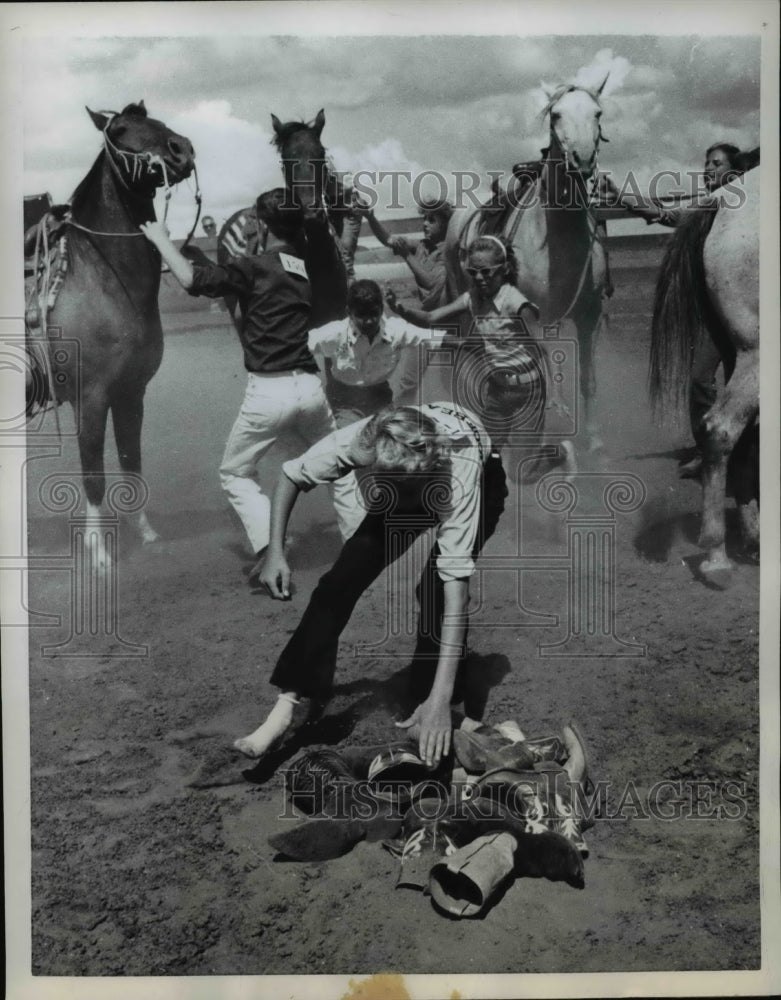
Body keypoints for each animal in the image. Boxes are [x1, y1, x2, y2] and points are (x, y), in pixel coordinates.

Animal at [35, 102, 195, 572]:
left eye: (153, 118)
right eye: (120, 130)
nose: (181, 149)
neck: (98, 276)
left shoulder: (130, 392)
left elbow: (130, 460)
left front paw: (144, 531)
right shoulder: (90, 398)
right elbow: (93, 471)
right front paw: (98, 551)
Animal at [444, 82, 608, 450]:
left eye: (598, 113)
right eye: (556, 114)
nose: (582, 159)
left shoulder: (589, 317)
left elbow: (587, 378)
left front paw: (593, 442)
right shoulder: (530, 319)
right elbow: (543, 379)